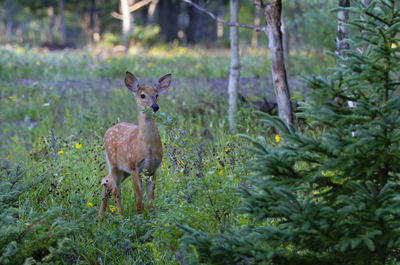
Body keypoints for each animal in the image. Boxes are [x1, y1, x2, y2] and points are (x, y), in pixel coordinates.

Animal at [99, 70, 171, 217]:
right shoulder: (134, 166)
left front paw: (151, 218)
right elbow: (139, 200)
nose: (155, 107)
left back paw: (100, 217)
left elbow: (151, 200)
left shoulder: (153, 169)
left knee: (106, 181)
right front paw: (139, 218)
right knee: (116, 190)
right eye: (142, 95)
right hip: (114, 164)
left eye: (157, 95)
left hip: (122, 170)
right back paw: (119, 217)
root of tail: (108, 130)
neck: (147, 148)